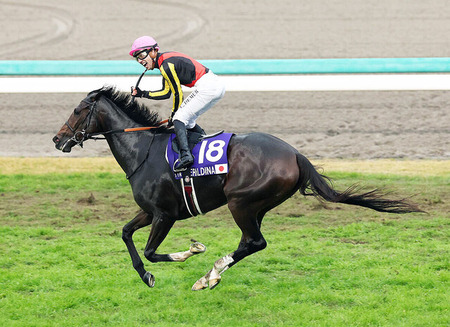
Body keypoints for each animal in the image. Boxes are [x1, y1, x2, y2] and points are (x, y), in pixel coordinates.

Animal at [52, 86, 422, 290]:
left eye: (78, 110)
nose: (57, 139)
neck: (144, 150)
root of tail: (295, 154)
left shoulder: (165, 214)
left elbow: (152, 250)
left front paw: (192, 251)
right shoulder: (149, 211)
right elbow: (127, 234)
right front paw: (146, 276)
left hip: (240, 202)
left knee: (255, 242)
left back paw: (209, 276)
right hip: (256, 206)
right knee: (250, 242)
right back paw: (210, 277)